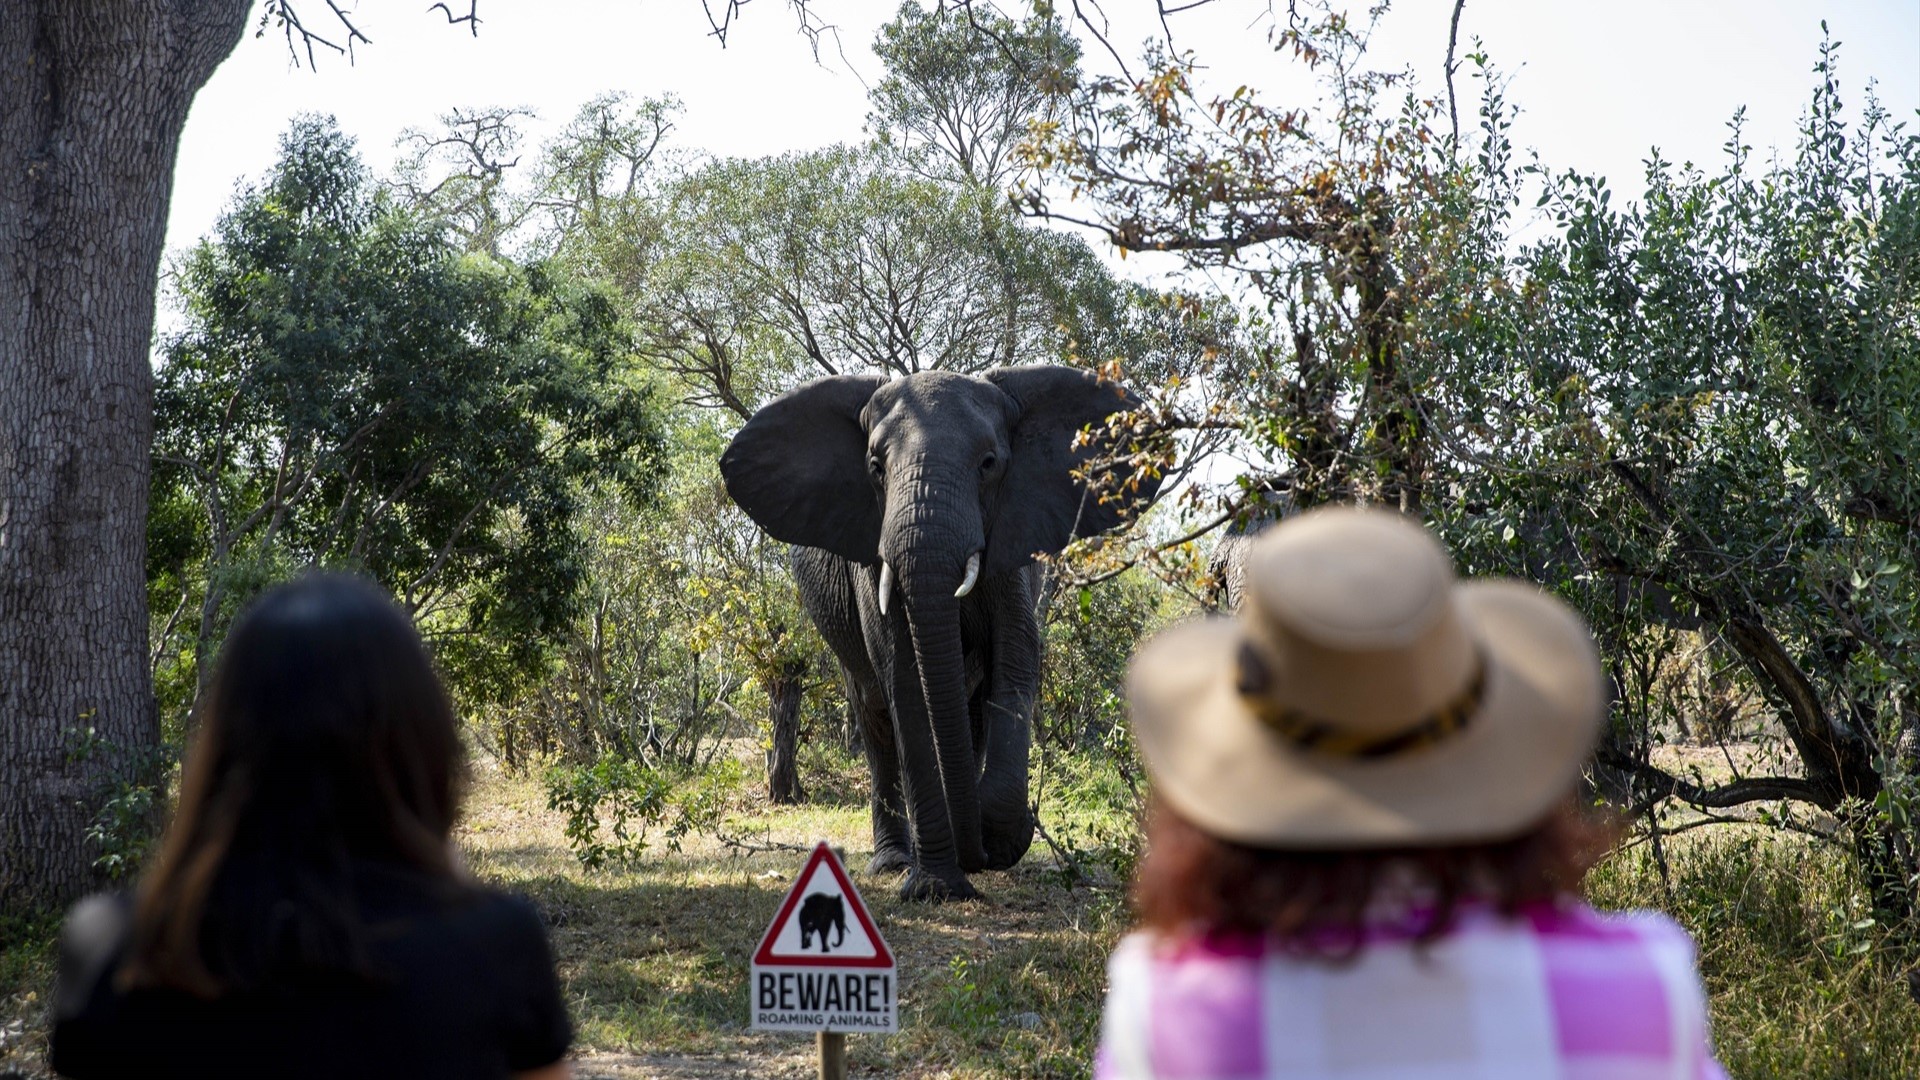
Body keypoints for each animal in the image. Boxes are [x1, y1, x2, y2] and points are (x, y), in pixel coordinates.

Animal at [721, 365, 1152, 895]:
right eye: (875, 468)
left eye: (989, 464)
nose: (980, 855)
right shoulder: (873, 555)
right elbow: (903, 677)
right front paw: (937, 889)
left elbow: (1016, 654)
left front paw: (998, 835)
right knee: (876, 717)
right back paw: (893, 861)